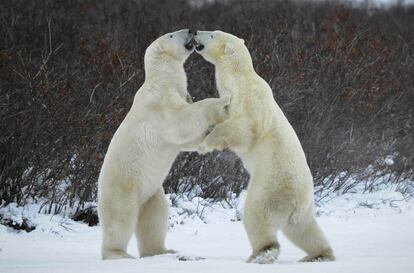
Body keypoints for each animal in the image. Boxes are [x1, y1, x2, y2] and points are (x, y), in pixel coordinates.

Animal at [99, 29, 231, 260]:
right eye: (171, 35)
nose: (191, 30)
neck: (163, 80)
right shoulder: (159, 105)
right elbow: (183, 120)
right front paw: (221, 101)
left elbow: (187, 140)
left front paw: (211, 133)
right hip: (122, 187)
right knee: (120, 219)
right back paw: (118, 254)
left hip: (151, 192)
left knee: (155, 217)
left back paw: (162, 251)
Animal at [193, 30, 334, 262]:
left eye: (212, 34)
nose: (195, 32)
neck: (239, 78)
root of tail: (299, 200)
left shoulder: (249, 97)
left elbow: (246, 127)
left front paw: (206, 144)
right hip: (303, 208)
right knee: (303, 229)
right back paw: (319, 254)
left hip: (270, 188)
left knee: (257, 215)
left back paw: (262, 253)